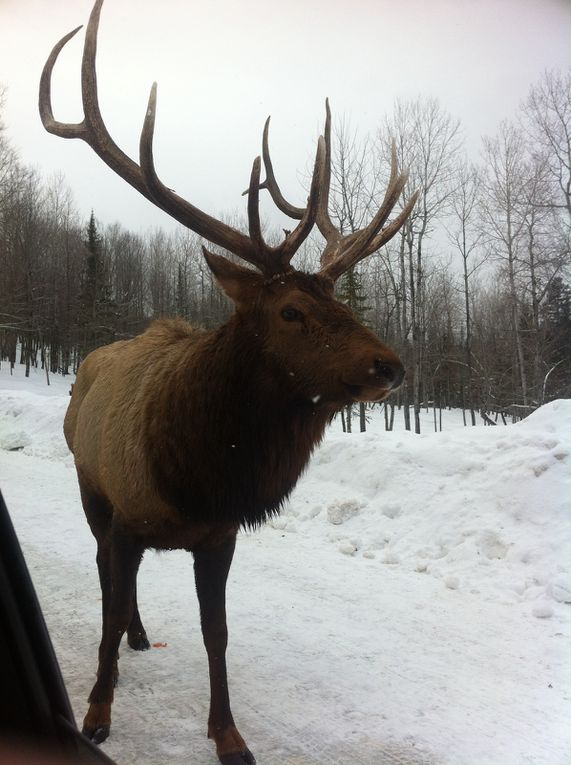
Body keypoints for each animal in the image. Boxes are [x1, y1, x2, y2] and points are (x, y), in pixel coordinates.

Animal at [39, 2, 416, 760]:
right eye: (291, 309)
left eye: (339, 299)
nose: (388, 366)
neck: (197, 472)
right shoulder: (126, 513)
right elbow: (109, 600)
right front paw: (97, 709)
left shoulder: (219, 535)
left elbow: (217, 632)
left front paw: (229, 733)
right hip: (89, 483)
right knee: (104, 576)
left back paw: (140, 635)